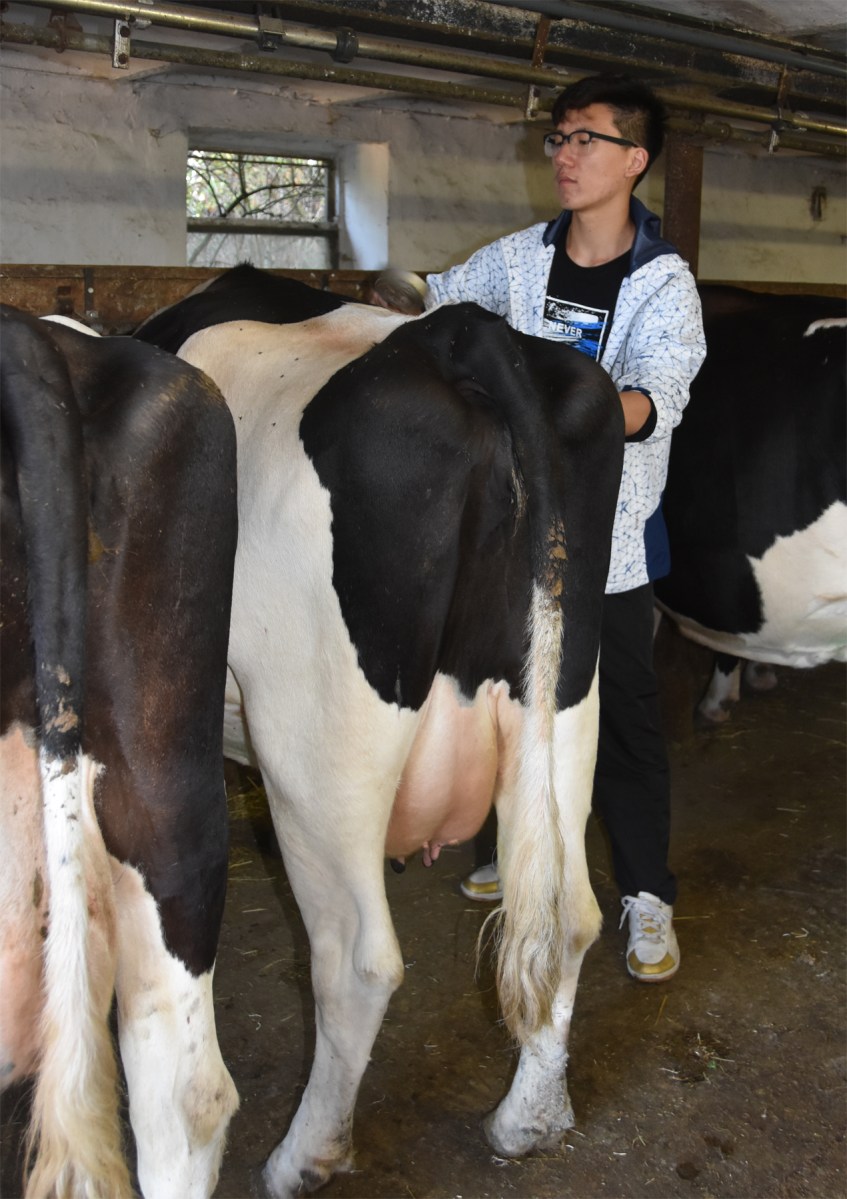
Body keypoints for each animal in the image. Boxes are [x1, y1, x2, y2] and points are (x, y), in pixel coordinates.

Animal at [137, 271, 625, 1198]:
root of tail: (458, 336)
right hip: (563, 695)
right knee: (569, 915)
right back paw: (528, 1117)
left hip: (317, 747)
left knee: (356, 960)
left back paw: (303, 1157)